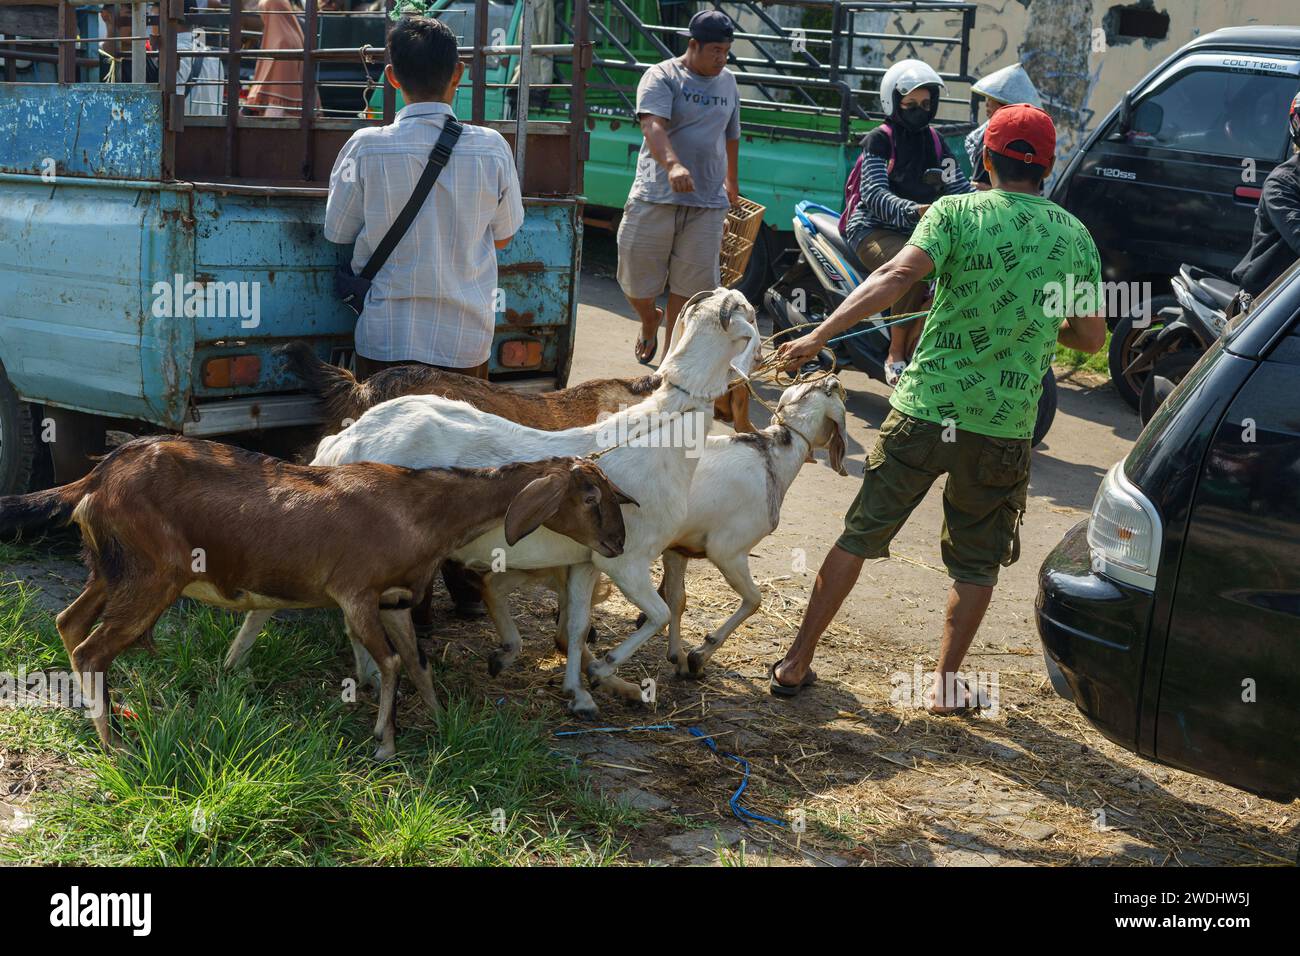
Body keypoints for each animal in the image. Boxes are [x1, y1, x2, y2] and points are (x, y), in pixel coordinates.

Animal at [0, 437, 629, 759]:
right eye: (589, 494)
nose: (618, 542)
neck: (423, 510)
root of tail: (97, 478)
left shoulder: (395, 600)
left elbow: (418, 663)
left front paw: (440, 721)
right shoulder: (355, 595)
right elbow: (391, 664)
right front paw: (383, 743)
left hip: (112, 571)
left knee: (68, 623)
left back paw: (90, 716)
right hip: (152, 576)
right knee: (93, 649)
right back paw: (116, 747)